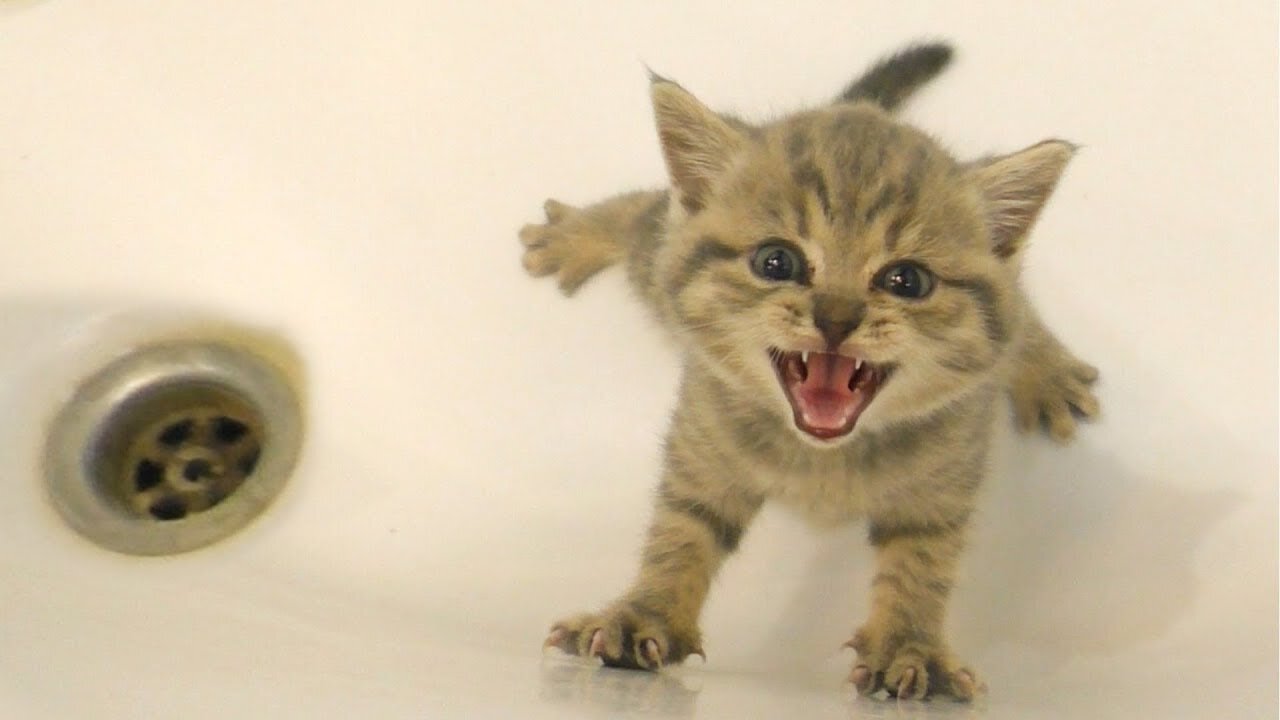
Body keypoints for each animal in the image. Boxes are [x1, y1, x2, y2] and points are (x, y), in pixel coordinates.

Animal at [519, 41, 1100, 696]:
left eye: (907, 280)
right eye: (777, 261)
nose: (836, 318)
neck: (825, 460)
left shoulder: (942, 481)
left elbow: (921, 565)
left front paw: (911, 648)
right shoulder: (703, 446)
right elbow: (681, 532)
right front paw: (645, 615)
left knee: (1019, 305)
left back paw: (1045, 370)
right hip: (656, 263)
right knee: (646, 212)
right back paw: (577, 234)